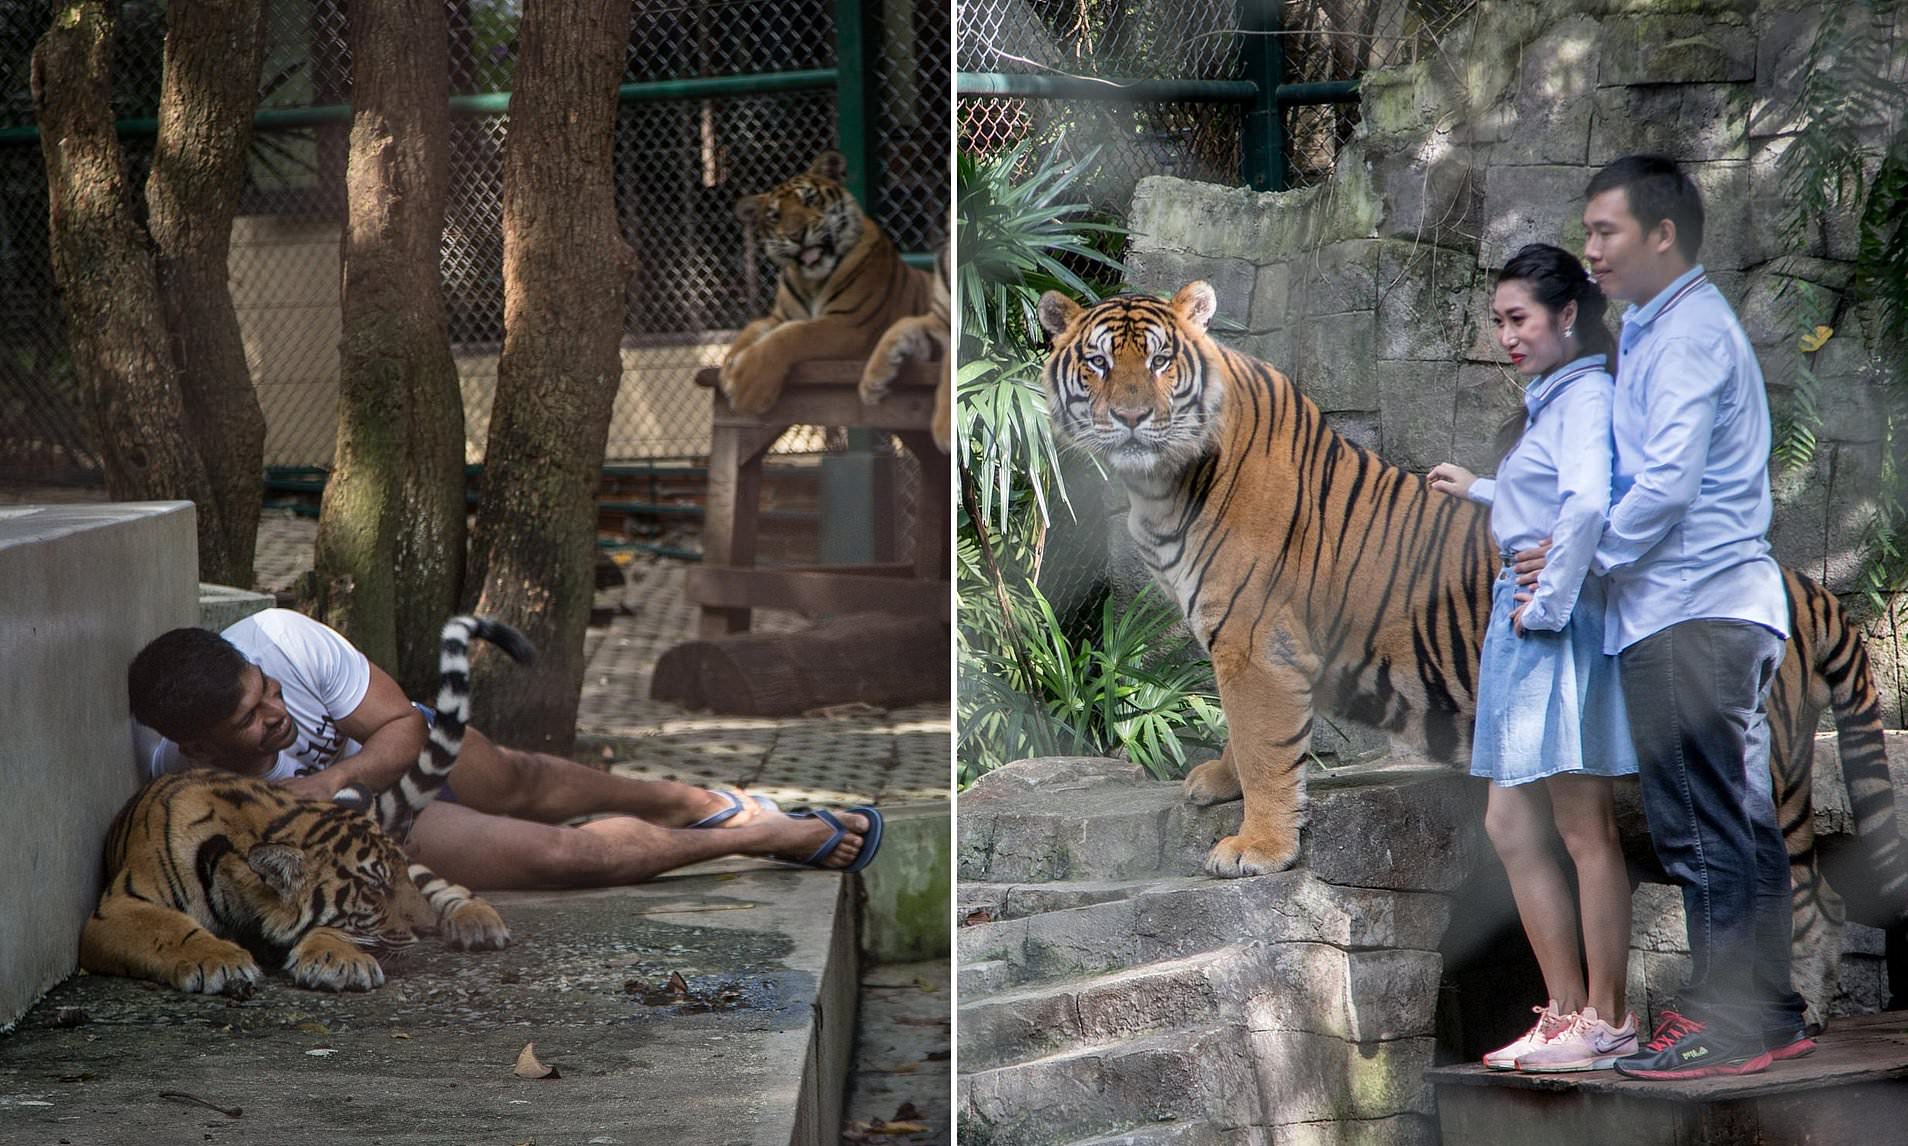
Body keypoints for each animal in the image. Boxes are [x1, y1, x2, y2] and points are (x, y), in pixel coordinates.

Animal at [79, 615, 533, 995]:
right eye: (375, 890)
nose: (425, 929)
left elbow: (334, 926)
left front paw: (338, 958)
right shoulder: (115, 910)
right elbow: (169, 928)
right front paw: (220, 960)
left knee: (447, 884)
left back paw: (475, 920)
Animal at [722, 149, 936, 416]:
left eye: (809, 199)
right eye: (775, 216)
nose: (796, 234)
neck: (810, 281)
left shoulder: (850, 324)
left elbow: (794, 334)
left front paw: (746, 385)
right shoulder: (780, 316)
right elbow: (753, 328)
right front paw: (728, 365)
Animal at [1038, 281, 1906, 1026]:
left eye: (1159, 362)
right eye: (1097, 363)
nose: (1129, 418)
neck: (1163, 486)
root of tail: (1801, 583)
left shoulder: (1258, 643)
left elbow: (1264, 743)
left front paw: (1257, 847)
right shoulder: (1239, 642)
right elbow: (1244, 737)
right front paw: (1219, 780)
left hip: (1760, 766)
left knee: (1799, 896)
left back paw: (1802, 1011)